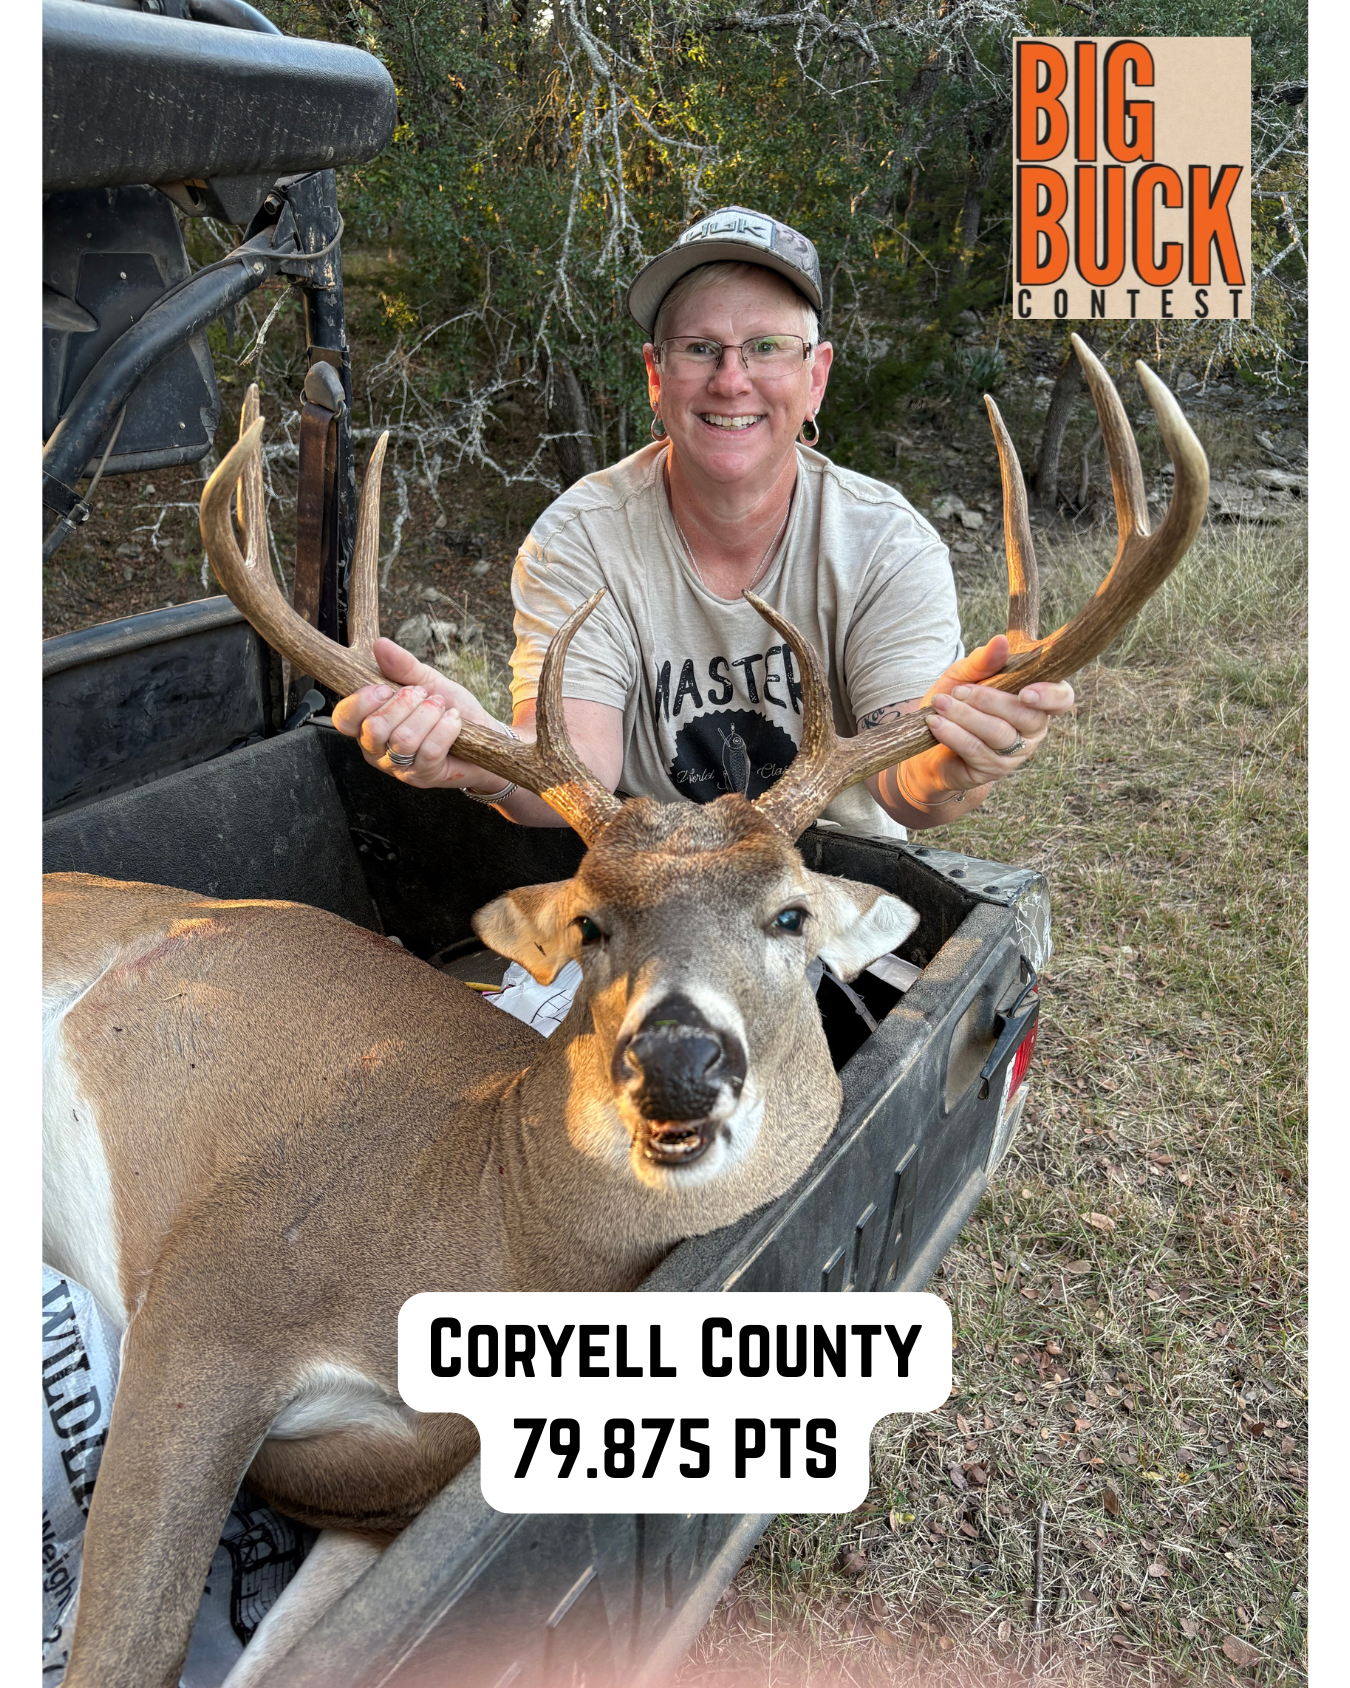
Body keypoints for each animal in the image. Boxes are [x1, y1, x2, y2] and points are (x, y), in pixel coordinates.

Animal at [42, 333, 1207, 1688]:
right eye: (591, 920)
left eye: (790, 915)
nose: (680, 1058)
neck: (488, 1226)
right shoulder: (215, 1286)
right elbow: (125, 1647)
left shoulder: (368, 1478)